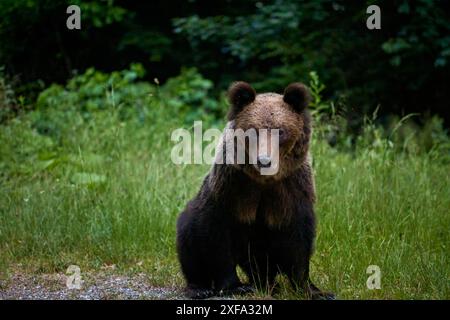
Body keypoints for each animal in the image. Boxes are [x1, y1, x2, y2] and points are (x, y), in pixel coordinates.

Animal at [176, 81, 334, 298]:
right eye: (254, 131)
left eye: (280, 131)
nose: (264, 160)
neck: (264, 181)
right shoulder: (231, 187)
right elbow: (216, 236)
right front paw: (234, 286)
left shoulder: (293, 189)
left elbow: (299, 240)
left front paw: (313, 289)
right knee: (189, 237)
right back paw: (201, 287)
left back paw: (270, 284)